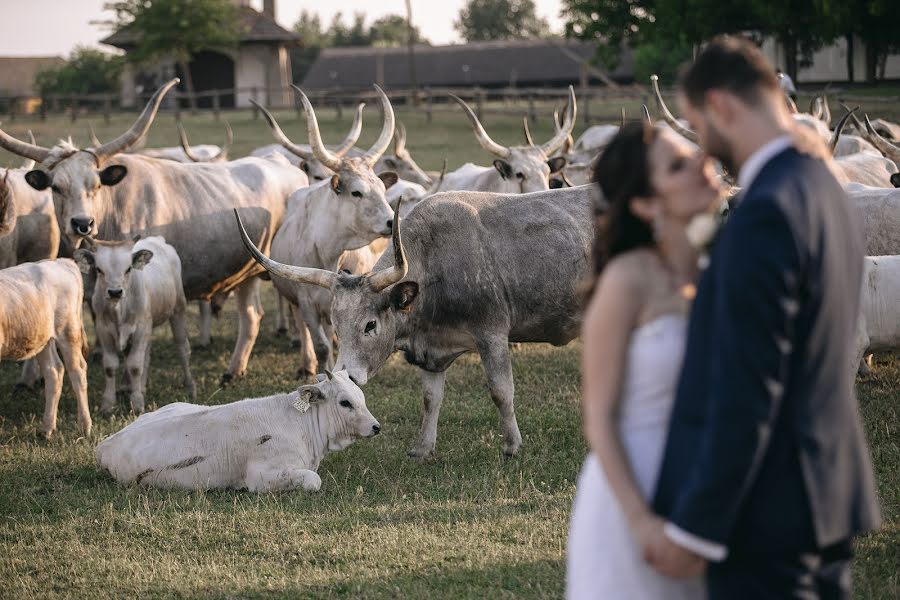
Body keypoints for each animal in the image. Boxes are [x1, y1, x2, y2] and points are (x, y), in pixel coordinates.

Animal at [0, 79, 312, 382]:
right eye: (56, 187)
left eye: (96, 184)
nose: (82, 223)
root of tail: (284, 164)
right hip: (247, 272)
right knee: (251, 316)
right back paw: (233, 370)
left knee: (299, 311)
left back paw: (307, 364)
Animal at [94, 370, 380, 492]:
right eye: (345, 402)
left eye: (361, 396)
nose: (376, 426)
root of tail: (105, 444)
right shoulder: (261, 476)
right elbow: (313, 480)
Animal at [236, 185, 596, 458]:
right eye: (336, 326)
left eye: (370, 325)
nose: (347, 375)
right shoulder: (432, 353)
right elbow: (430, 399)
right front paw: (423, 448)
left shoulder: (492, 334)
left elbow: (501, 391)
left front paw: (512, 446)